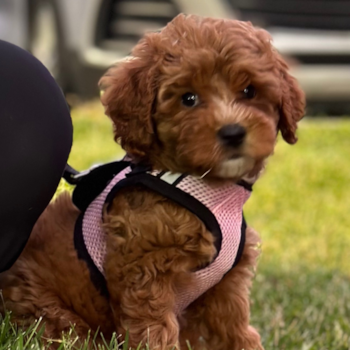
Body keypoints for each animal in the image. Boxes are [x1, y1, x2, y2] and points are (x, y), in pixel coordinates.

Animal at [0, 13, 304, 350]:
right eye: (188, 99)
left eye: (250, 91)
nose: (233, 132)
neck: (204, 185)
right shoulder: (145, 269)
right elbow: (154, 329)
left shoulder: (227, 283)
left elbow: (233, 326)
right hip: (52, 314)